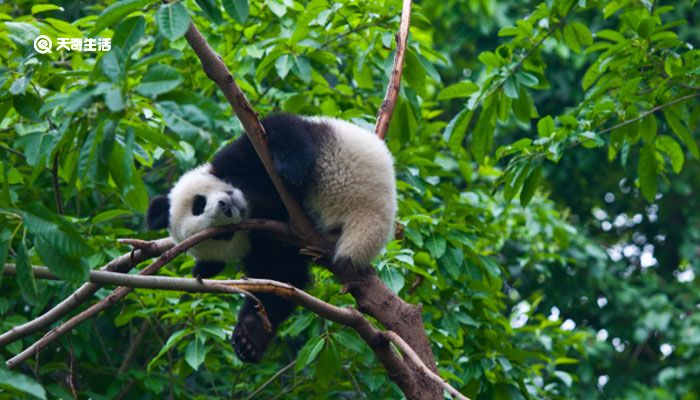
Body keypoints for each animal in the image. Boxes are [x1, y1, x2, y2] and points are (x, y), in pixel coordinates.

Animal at [145, 113, 396, 362]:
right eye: (222, 235)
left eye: (198, 204)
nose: (226, 207)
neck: (254, 202)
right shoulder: (267, 243)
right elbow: (279, 278)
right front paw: (248, 339)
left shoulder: (238, 159)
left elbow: (275, 129)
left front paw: (291, 169)